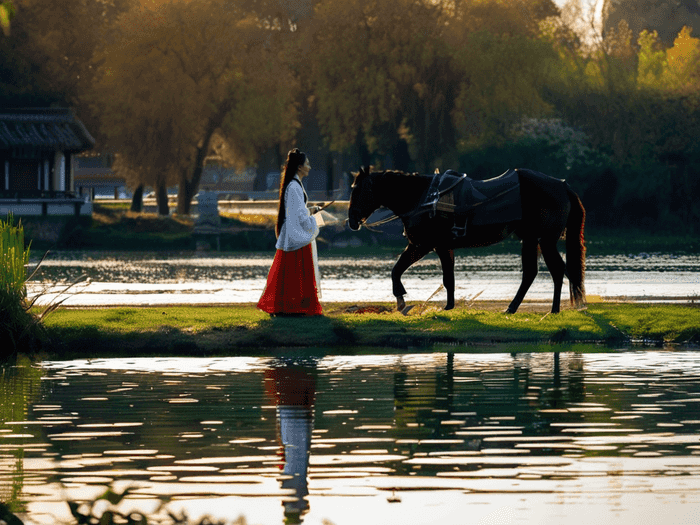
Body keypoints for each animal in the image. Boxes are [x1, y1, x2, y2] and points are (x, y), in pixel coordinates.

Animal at [348, 167, 584, 312]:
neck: (426, 197)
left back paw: (553, 309)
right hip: (531, 239)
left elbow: (397, 270)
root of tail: (562, 185)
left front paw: (401, 300)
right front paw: (448, 306)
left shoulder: (422, 245)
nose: (351, 220)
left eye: (357, 189)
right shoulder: (441, 247)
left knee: (556, 270)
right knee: (533, 274)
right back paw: (513, 307)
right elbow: (448, 279)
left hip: (545, 240)